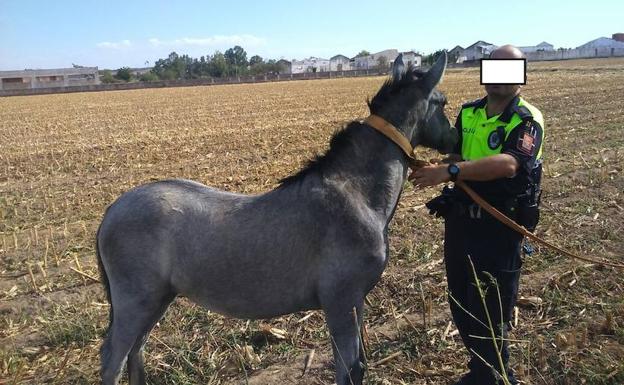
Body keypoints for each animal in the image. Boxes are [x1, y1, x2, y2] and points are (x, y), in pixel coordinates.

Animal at [98, 51, 458, 384]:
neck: (356, 194)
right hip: (135, 302)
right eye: (442, 102)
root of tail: (113, 210)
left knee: (136, 352)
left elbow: (358, 367)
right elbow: (349, 369)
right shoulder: (341, 302)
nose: (455, 140)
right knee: (114, 359)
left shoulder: (356, 302)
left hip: (157, 300)